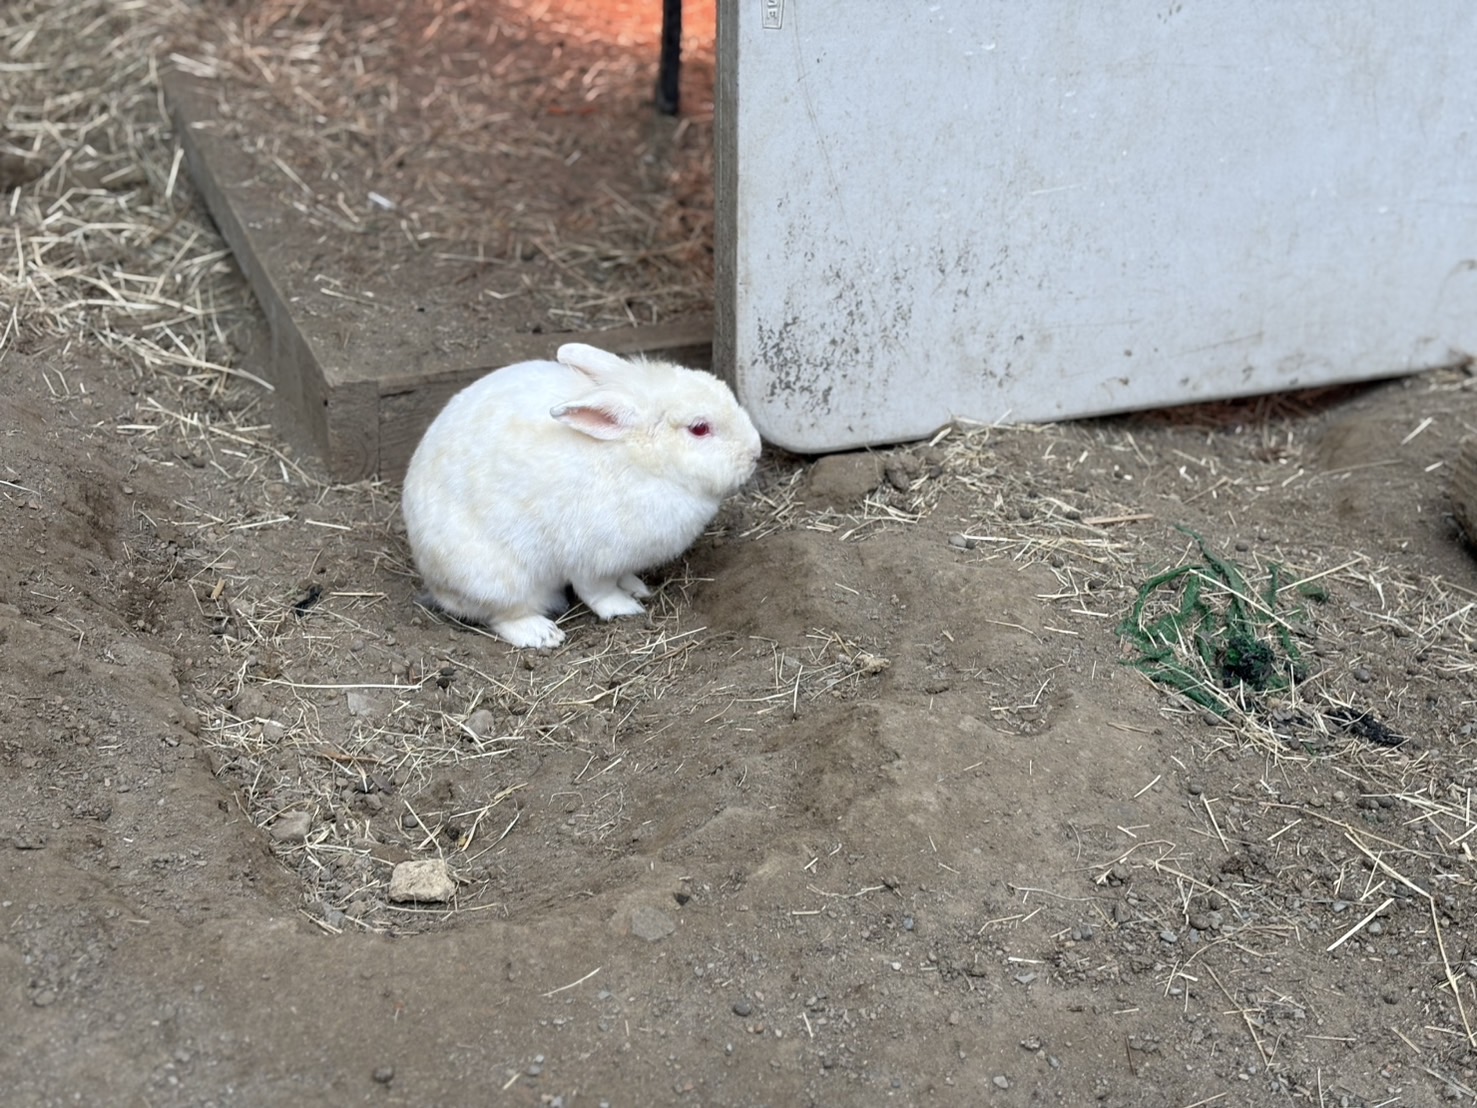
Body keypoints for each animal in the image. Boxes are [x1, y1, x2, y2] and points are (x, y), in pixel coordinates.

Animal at [398, 342, 762, 647]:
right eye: (699, 429)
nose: (756, 452)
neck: (642, 460)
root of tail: (430, 576)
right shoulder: (592, 559)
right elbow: (597, 592)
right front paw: (625, 608)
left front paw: (636, 588)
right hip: (496, 579)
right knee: (500, 615)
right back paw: (542, 634)